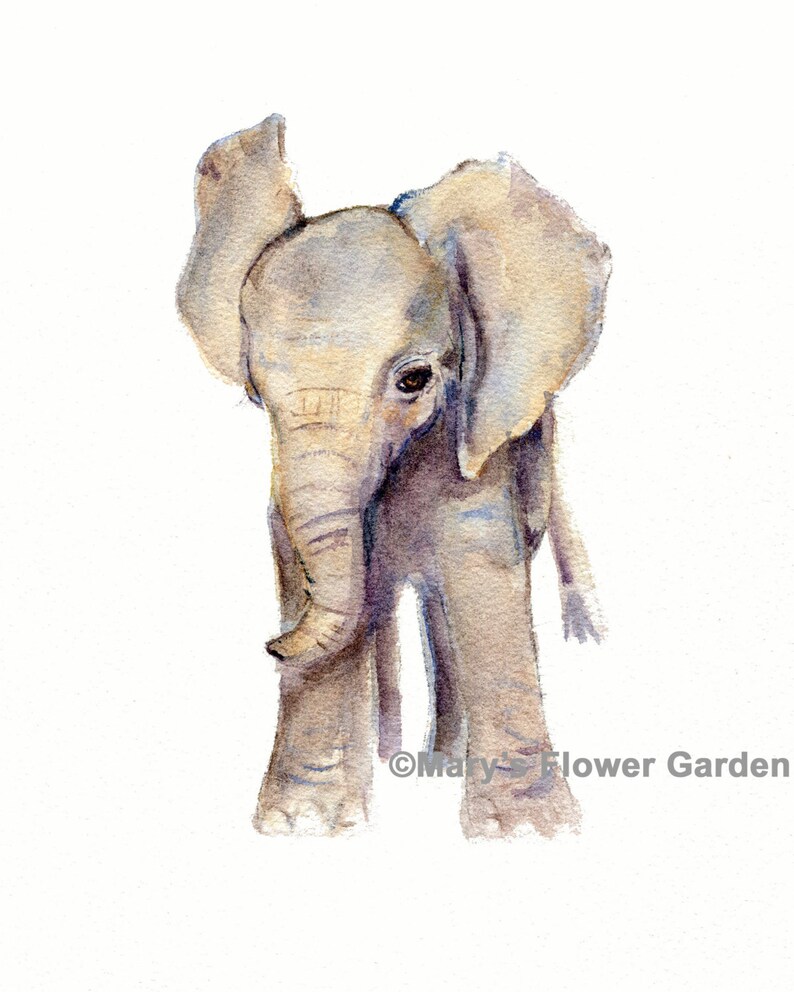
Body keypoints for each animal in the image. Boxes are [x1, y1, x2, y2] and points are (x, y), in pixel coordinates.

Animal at [177, 114, 610, 838]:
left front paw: (528, 832)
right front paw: (305, 826)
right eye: (257, 391)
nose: (272, 644)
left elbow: (478, 566)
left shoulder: (472, 440)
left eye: (414, 380)